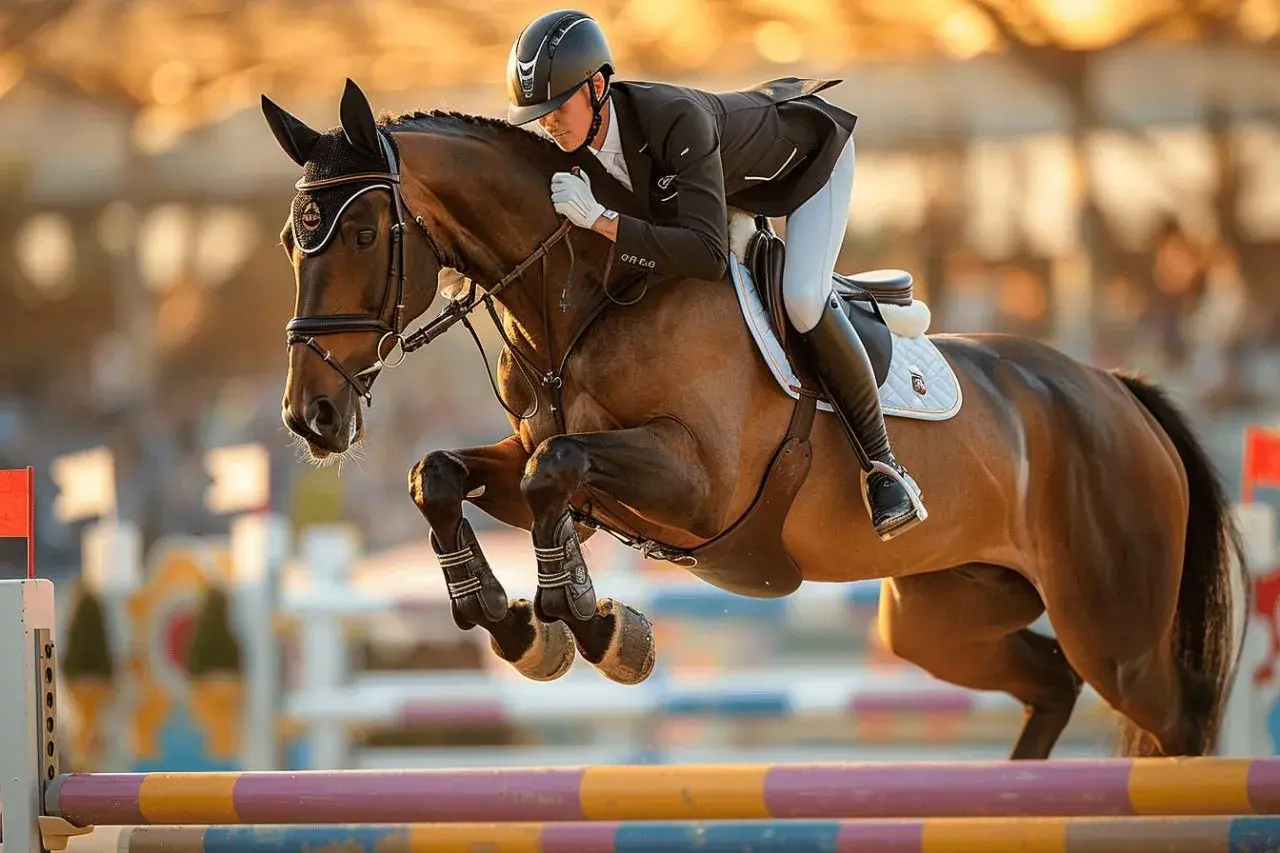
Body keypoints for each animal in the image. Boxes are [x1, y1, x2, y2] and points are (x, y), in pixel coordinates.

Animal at [261, 78, 1246, 760]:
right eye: (289, 242)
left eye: (361, 234)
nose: (311, 417)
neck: (587, 293)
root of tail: (1115, 388)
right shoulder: (546, 455)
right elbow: (445, 474)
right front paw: (519, 627)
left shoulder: (698, 484)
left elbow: (555, 473)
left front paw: (595, 628)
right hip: (944, 615)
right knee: (1049, 684)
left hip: (1112, 624)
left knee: (1177, 715)